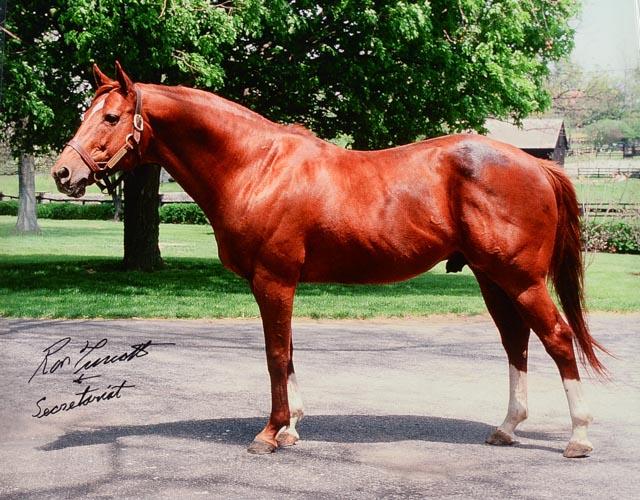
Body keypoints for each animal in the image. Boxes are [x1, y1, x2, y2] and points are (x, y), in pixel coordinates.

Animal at [52, 62, 608, 458]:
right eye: (84, 114)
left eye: (110, 117)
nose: (62, 173)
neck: (256, 166)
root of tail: (535, 165)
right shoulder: (279, 283)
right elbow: (289, 352)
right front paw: (292, 428)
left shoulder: (273, 280)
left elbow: (276, 355)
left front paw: (270, 433)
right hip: (494, 279)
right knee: (517, 342)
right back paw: (507, 428)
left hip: (521, 279)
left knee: (558, 339)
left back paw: (579, 438)